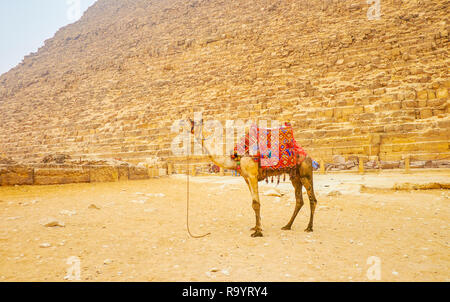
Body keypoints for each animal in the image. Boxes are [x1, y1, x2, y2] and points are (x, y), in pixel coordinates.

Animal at [186, 118, 316, 238]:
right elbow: (254, 203)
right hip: (295, 176)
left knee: (312, 199)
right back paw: (287, 226)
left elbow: (256, 204)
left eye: (194, 123)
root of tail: (308, 155)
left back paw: (309, 227)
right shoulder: (246, 178)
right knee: (299, 200)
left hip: (305, 173)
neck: (235, 158)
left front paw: (258, 232)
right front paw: (257, 227)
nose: (188, 122)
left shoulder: (252, 175)